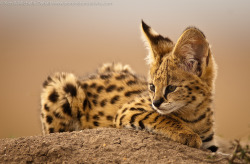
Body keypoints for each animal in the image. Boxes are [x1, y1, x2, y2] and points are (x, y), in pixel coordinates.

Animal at [40, 21, 218, 152]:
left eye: (171, 88)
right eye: (152, 87)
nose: (155, 103)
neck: (194, 114)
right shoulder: (129, 110)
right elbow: (162, 117)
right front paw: (187, 134)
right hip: (61, 87)